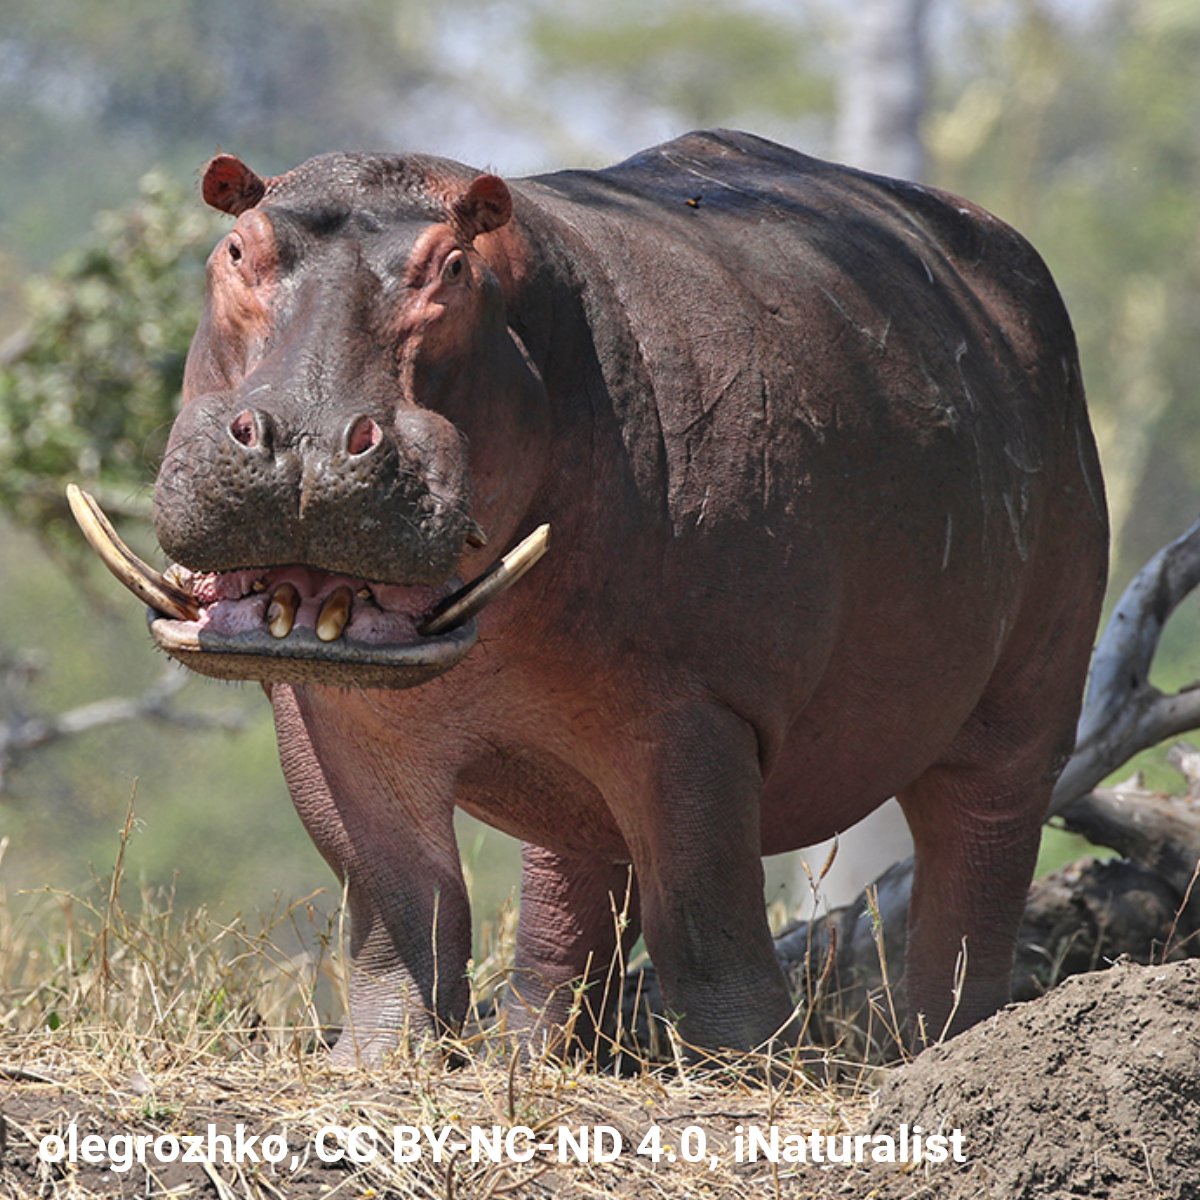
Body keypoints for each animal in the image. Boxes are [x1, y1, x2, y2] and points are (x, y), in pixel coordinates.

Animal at [77, 130, 1108, 1064]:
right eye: (236, 248)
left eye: (453, 267)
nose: (306, 440)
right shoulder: (330, 713)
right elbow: (400, 902)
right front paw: (373, 1063)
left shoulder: (699, 711)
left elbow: (702, 914)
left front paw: (748, 1068)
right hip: (568, 767)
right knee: (568, 889)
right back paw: (532, 1055)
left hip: (1022, 712)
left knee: (974, 871)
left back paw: (953, 1046)